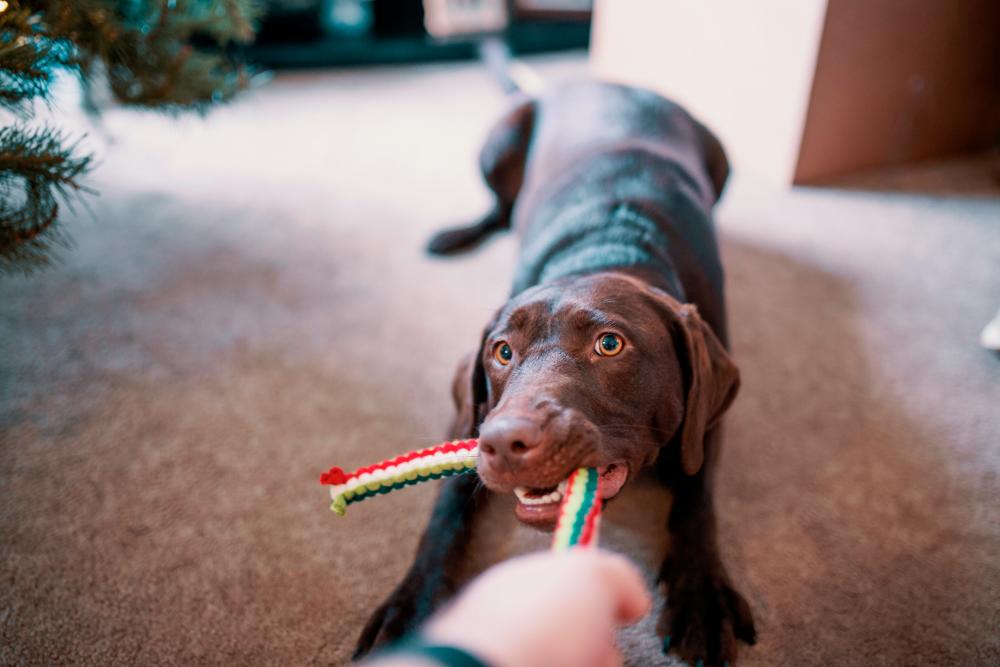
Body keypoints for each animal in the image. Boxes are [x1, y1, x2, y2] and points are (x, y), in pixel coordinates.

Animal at [356, 81, 752, 664]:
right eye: (502, 352)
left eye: (609, 344)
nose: (505, 442)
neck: (609, 246)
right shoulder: (471, 417)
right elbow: (445, 511)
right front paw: (412, 604)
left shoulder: (707, 421)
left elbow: (696, 498)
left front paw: (701, 594)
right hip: (499, 141)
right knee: (500, 209)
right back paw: (456, 234)